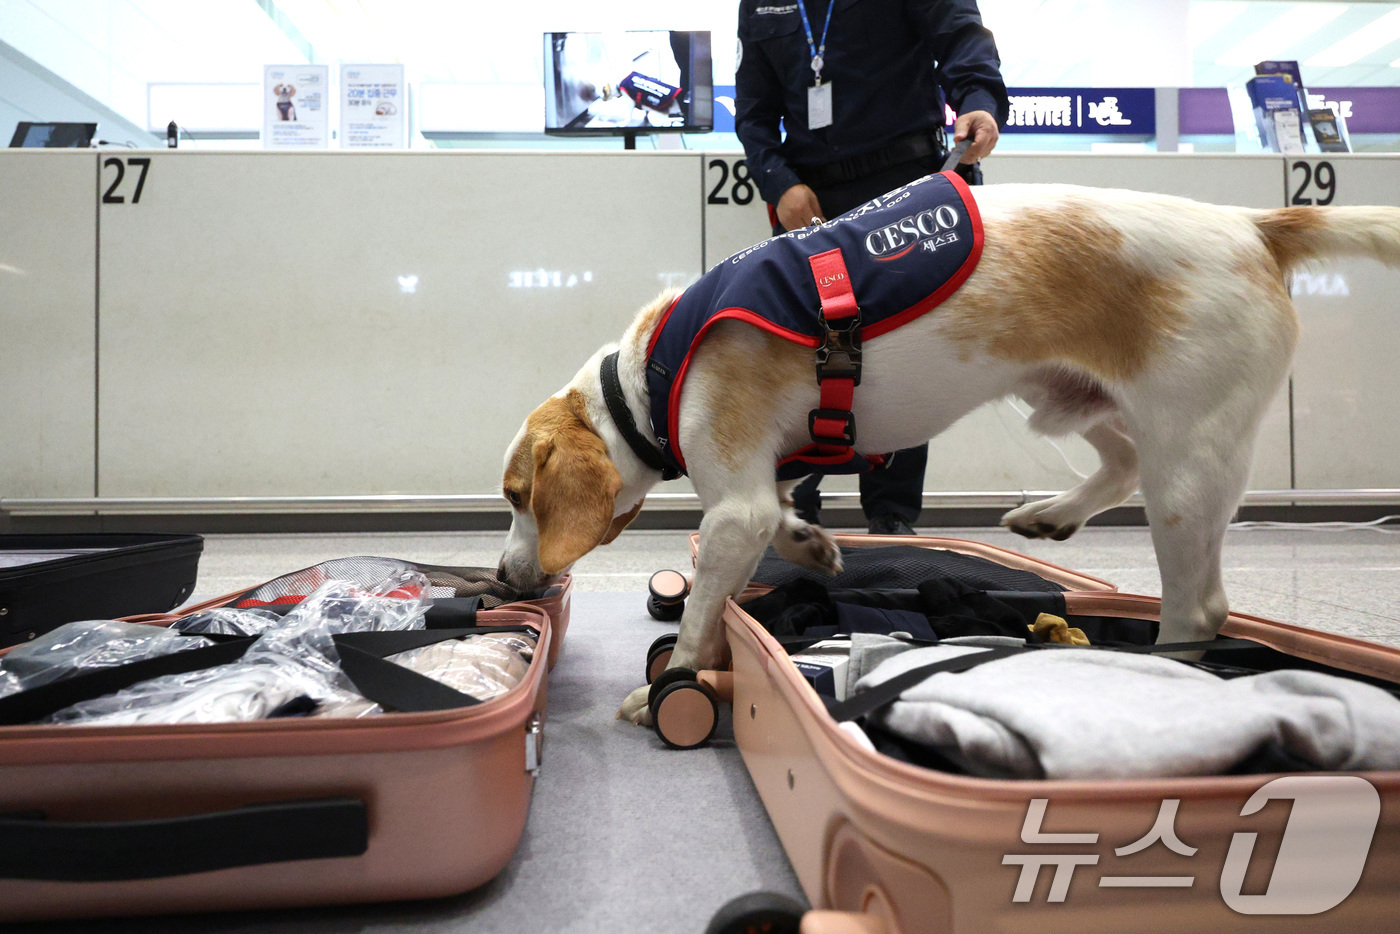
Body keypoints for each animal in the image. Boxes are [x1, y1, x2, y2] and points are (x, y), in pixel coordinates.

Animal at [501, 182, 1400, 722]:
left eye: (516, 497)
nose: (507, 580)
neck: (647, 377)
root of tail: (1254, 225)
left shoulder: (735, 509)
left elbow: (696, 615)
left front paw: (671, 685)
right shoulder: (758, 494)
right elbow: (786, 514)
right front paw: (812, 544)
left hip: (1186, 461)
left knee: (1200, 605)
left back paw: (1165, 662)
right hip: (1069, 401)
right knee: (1118, 466)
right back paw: (1050, 515)